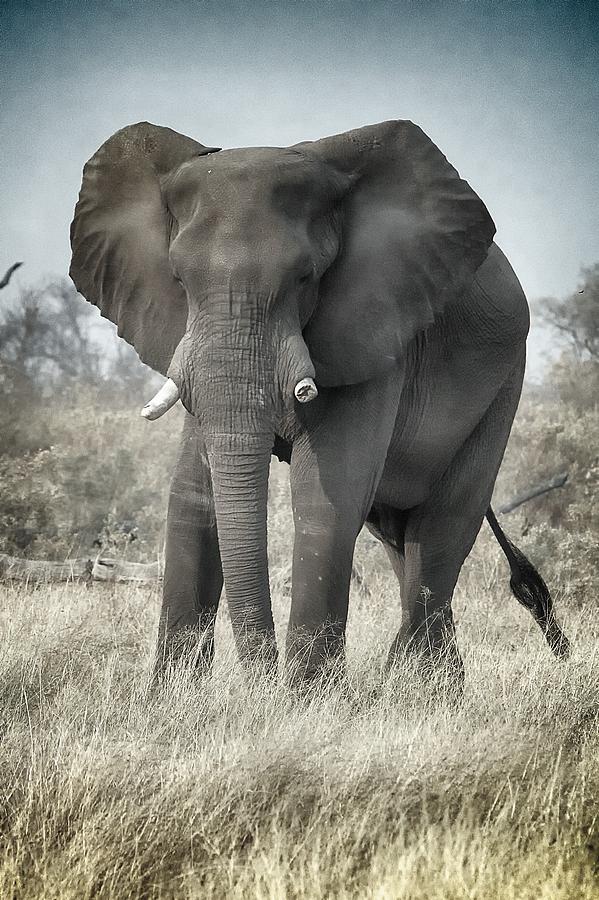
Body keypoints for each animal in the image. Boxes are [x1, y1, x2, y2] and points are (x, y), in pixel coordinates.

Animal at [68, 118, 568, 684]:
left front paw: (308, 698)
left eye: (305, 278)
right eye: (179, 280)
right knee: (401, 540)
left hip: (505, 382)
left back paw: (409, 683)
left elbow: (327, 498)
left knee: (441, 535)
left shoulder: (376, 324)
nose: (260, 680)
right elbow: (193, 496)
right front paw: (172, 697)